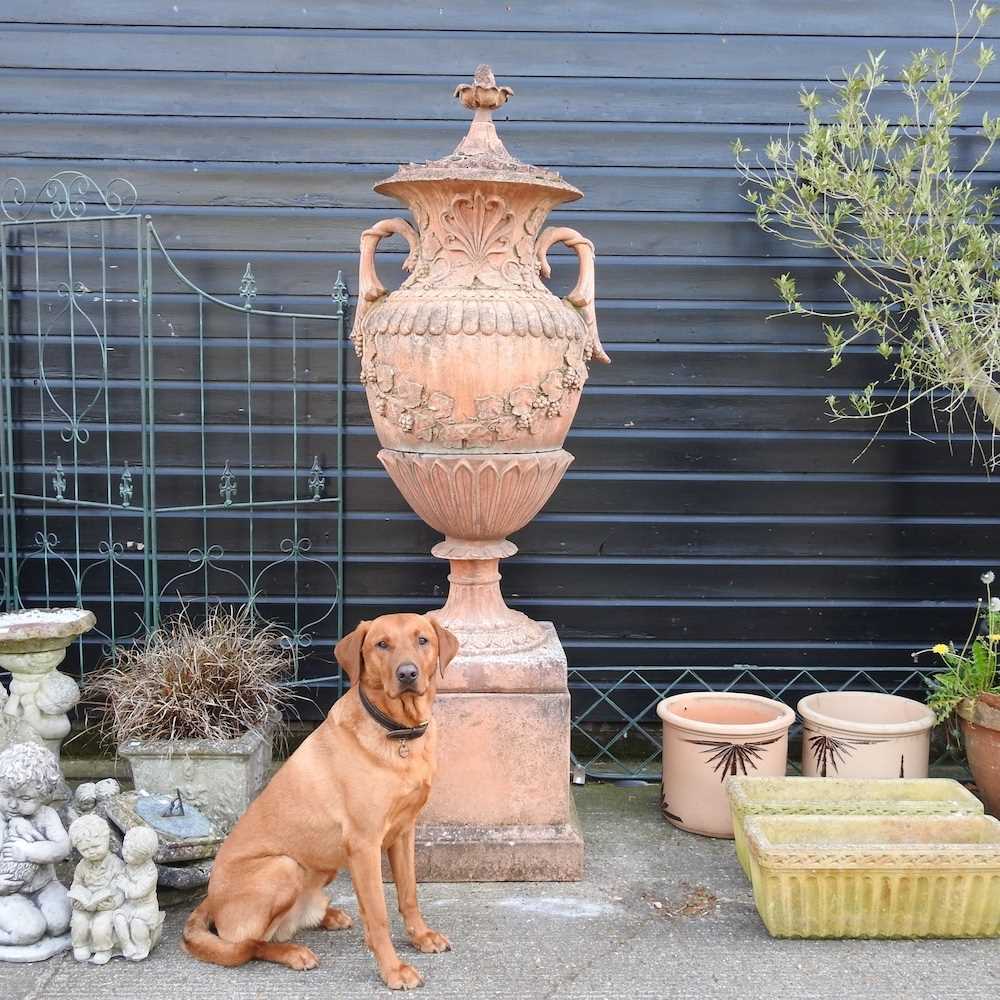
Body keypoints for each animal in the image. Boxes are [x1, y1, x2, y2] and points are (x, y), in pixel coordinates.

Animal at [183, 612, 458, 988]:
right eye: (381, 644)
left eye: (422, 640)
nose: (407, 673)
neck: (398, 732)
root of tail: (210, 900)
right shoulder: (364, 843)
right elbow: (378, 914)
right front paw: (392, 969)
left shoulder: (403, 833)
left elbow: (408, 894)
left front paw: (421, 936)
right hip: (285, 866)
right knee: (249, 944)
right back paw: (293, 952)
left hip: (323, 865)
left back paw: (327, 915)